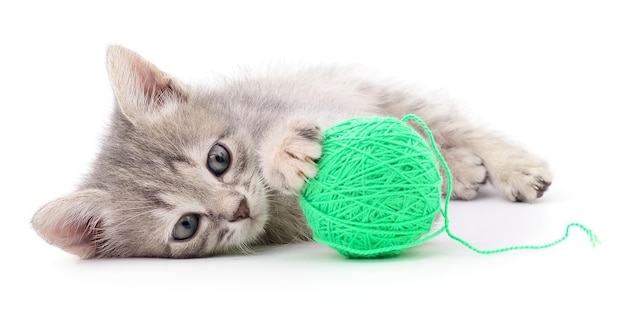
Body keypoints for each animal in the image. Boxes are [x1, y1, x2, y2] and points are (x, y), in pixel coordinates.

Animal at [33, 45, 552, 260]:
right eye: (185, 226)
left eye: (218, 159)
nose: (239, 208)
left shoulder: (301, 107)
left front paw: (282, 152)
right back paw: (458, 172)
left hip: (380, 93)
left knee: (448, 126)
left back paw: (507, 167)